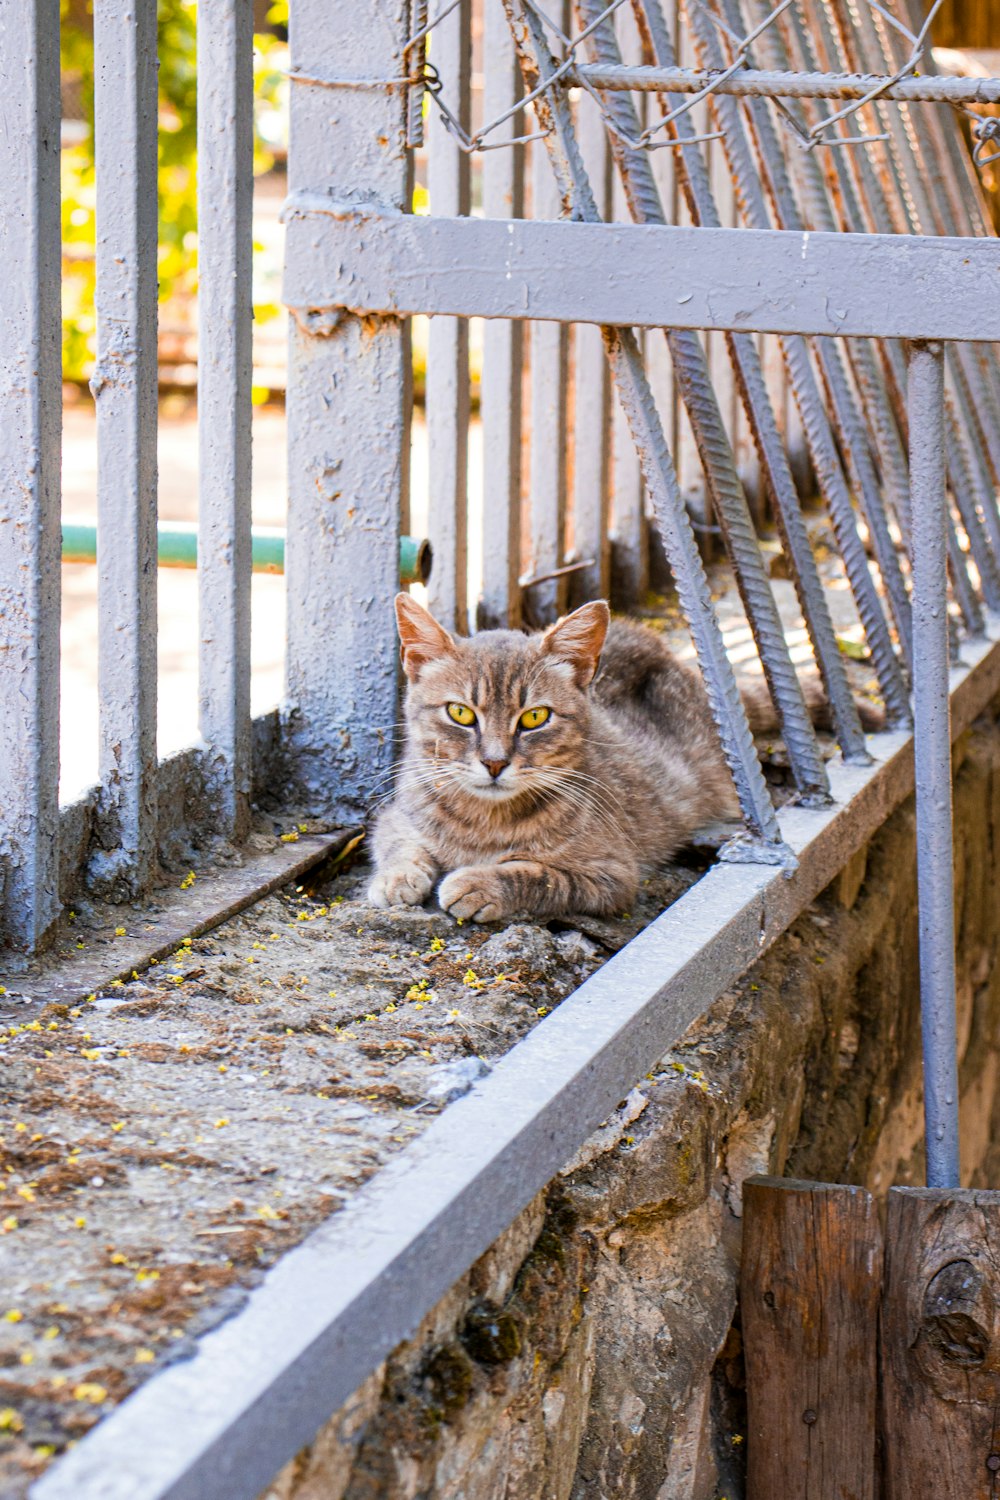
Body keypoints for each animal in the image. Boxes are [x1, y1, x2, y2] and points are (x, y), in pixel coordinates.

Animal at [367, 588, 869, 918]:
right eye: (460, 713)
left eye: (534, 718)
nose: (494, 762)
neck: (484, 823)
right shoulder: (398, 811)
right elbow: (396, 841)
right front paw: (396, 877)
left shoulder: (611, 874)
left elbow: (539, 875)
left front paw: (480, 882)